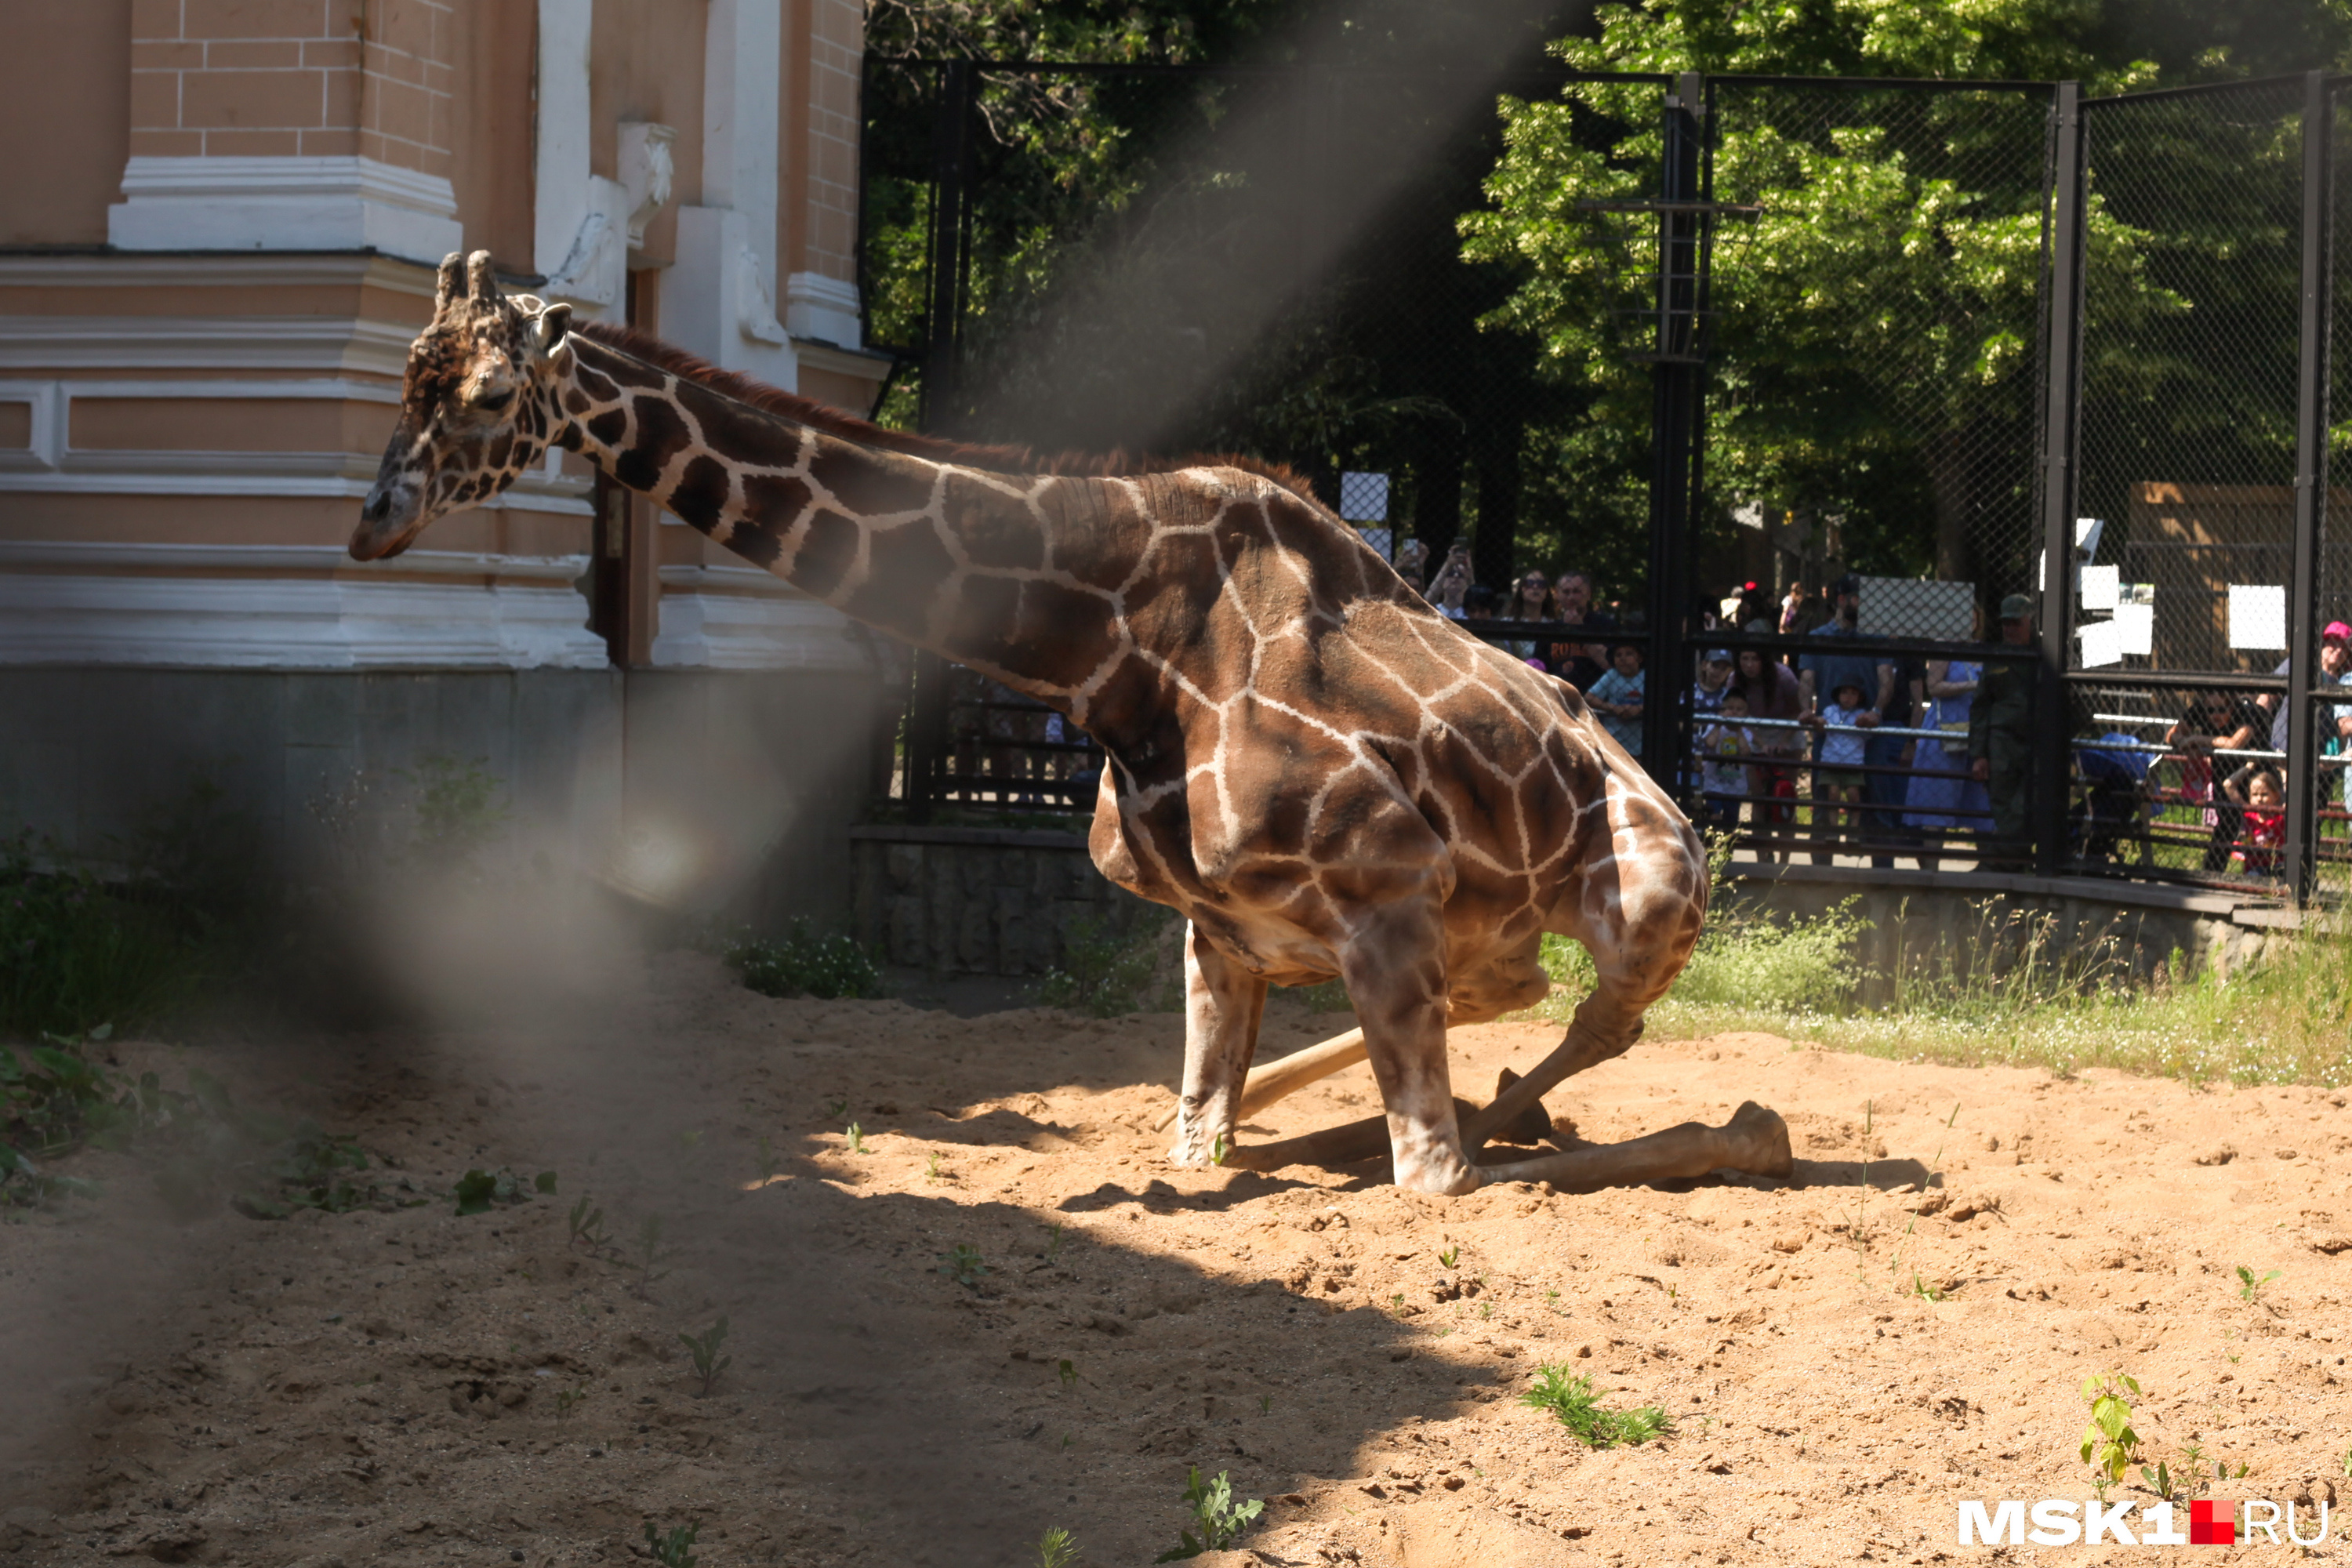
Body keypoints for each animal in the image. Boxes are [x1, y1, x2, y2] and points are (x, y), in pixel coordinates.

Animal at [348, 251, 1788, 1194]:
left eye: (487, 398)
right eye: (407, 379)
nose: (370, 527)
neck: (1118, 648)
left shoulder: (1386, 890)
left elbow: (1432, 1177)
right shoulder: (1220, 930)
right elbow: (1195, 1139)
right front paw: (1247, 1132)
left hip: (1650, 893)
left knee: (1602, 1028)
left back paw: (1705, 1130)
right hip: (1479, 927)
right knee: (1518, 994)